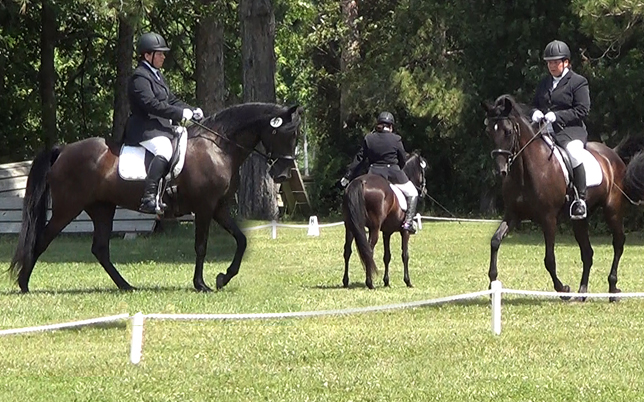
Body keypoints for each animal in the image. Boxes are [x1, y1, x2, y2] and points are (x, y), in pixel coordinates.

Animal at [9, 103, 302, 292]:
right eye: (282, 133)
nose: (283, 173)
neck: (218, 148)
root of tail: (63, 150)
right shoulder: (205, 207)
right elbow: (201, 246)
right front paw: (202, 284)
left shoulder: (218, 207)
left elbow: (241, 240)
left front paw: (223, 278)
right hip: (67, 208)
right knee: (42, 239)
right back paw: (24, 285)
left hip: (102, 208)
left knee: (100, 249)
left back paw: (127, 286)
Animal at [342, 153, 428, 288]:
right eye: (423, 171)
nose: (424, 191)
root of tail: (362, 181)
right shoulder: (405, 232)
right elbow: (405, 255)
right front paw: (408, 281)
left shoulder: (387, 232)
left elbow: (387, 256)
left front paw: (386, 281)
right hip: (374, 228)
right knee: (369, 250)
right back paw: (370, 283)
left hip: (350, 226)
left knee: (347, 251)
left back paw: (346, 281)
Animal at [484, 94, 644, 300]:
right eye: (489, 131)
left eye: (508, 131)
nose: (500, 171)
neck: (525, 171)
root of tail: (613, 155)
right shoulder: (512, 215)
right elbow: (495, 241)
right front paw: (492, 285)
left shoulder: (548, 218)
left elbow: (549, 259)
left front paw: (563, 289)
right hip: (579, 220)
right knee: (587, 252)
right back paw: (582, 292)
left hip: (613, 210)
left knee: (618, 243)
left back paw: (612, 289)